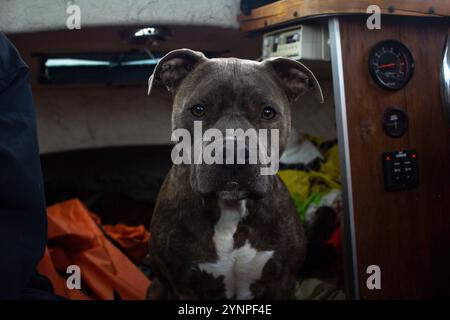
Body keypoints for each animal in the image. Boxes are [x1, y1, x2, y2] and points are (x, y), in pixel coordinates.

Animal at [148, 48, 324, 298]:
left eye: (268, 112)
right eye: (198, 109)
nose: (233, 152)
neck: (230, 209)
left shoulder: (283, 281)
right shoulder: (180, 286)